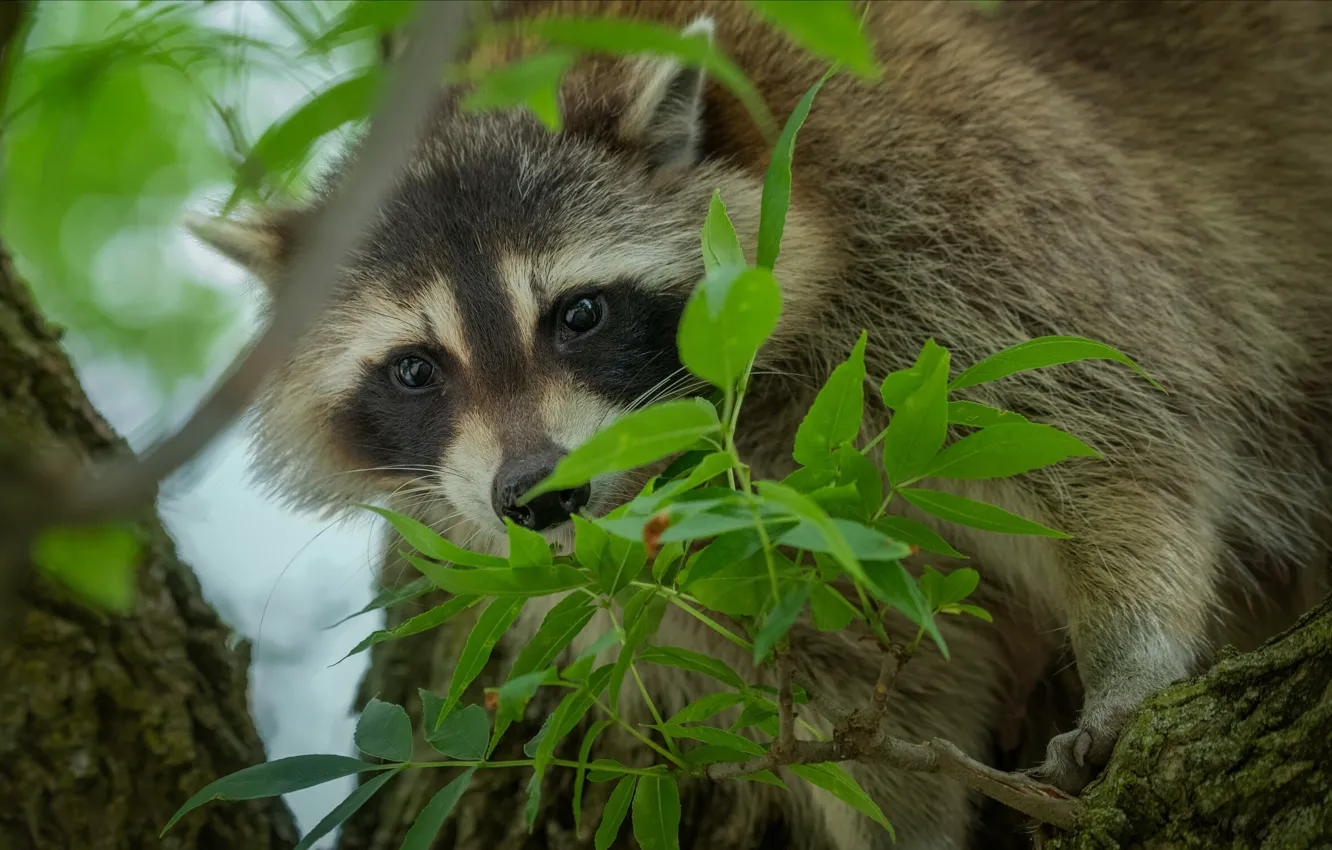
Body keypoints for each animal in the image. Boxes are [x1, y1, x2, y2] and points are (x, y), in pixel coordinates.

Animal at [188, 0, 1332, 847]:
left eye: (580, 313)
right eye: (416, 369)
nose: (538, 493)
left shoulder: (949, 200)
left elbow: (1114, 438)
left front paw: (1130, 656)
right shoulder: (691, 550)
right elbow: (855, 671)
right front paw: (902, 815)